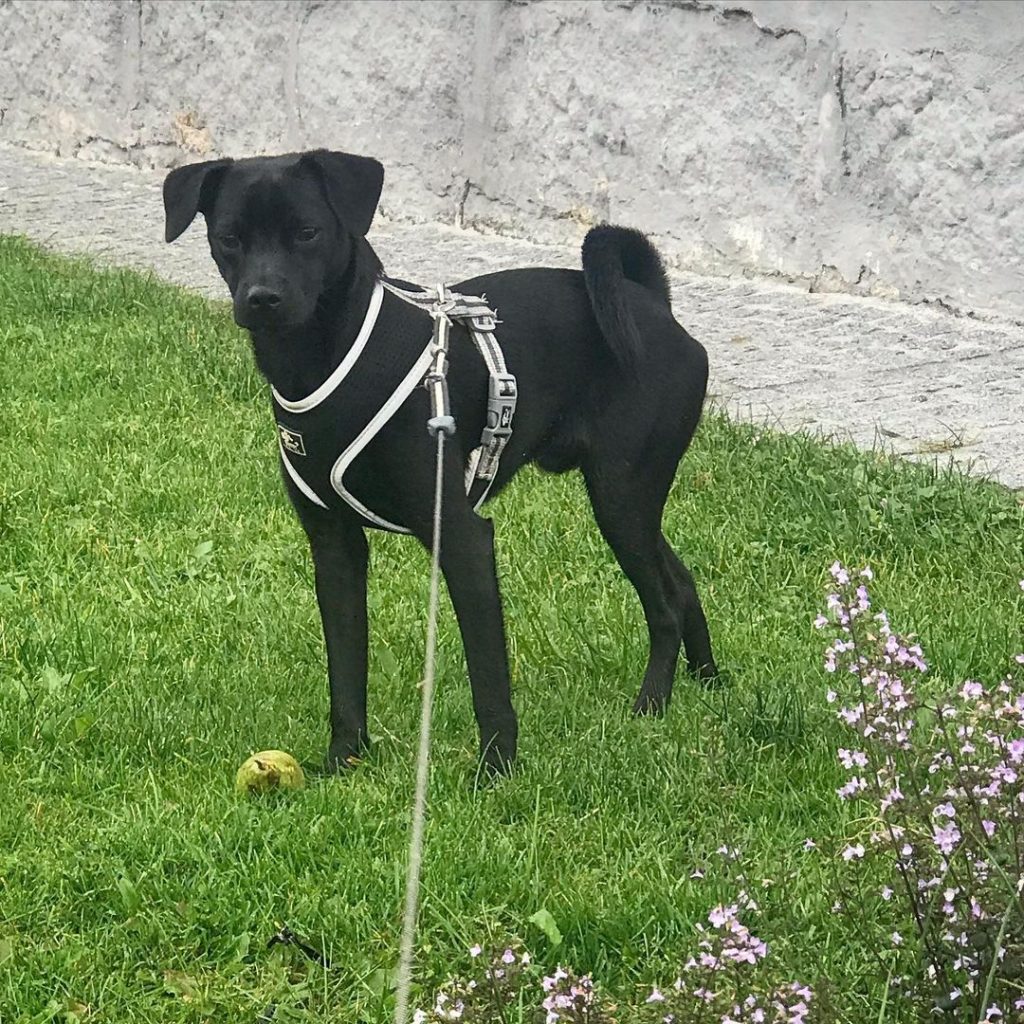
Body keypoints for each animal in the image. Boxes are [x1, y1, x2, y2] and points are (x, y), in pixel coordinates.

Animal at [161, 149, 720, 774]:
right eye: (229, 238)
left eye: (307, 232)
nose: (261, 297)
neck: (330, 358)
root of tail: (652, 304)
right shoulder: (334, 547)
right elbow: (346, 668)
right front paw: (345, 760)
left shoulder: (462, 537)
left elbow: (488, 676)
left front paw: (496, 770)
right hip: (632, 501)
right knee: (682, 580)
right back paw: (710, 684)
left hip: (620, 496)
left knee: (664, 604)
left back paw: (652, 706)